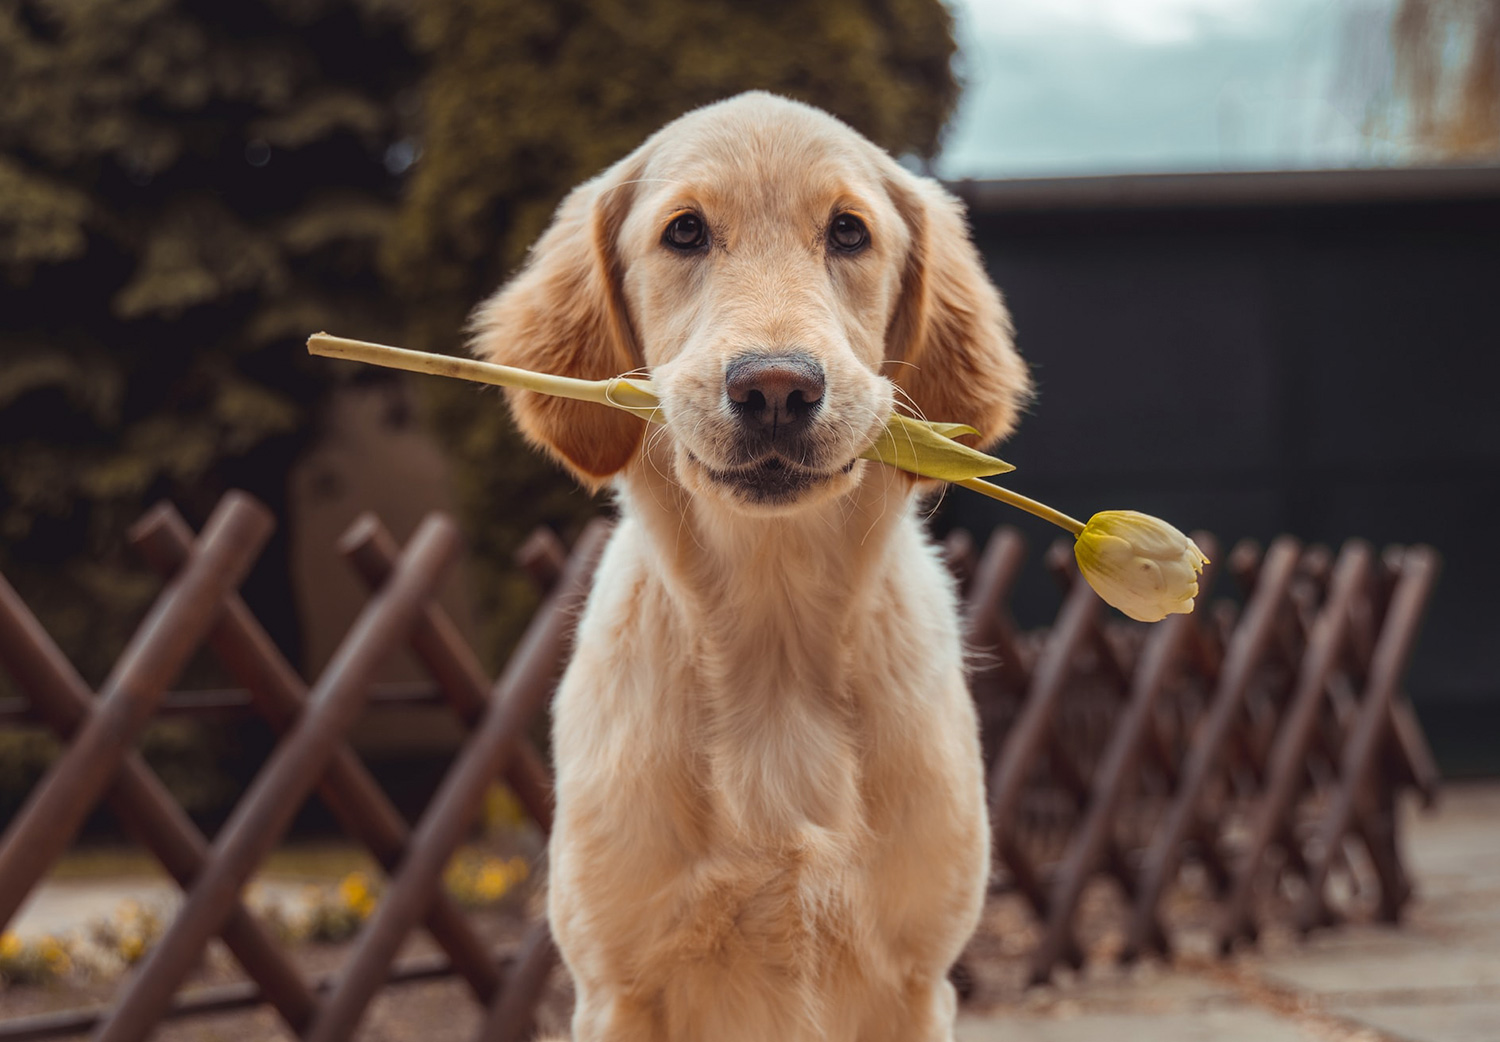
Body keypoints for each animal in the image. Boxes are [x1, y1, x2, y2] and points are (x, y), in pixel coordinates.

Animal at [477, 91, 1032, 1042]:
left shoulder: (918, 980)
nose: (776, 389)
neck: (775, 638)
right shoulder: (616, 986)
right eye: (686, 232)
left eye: (848, 232)